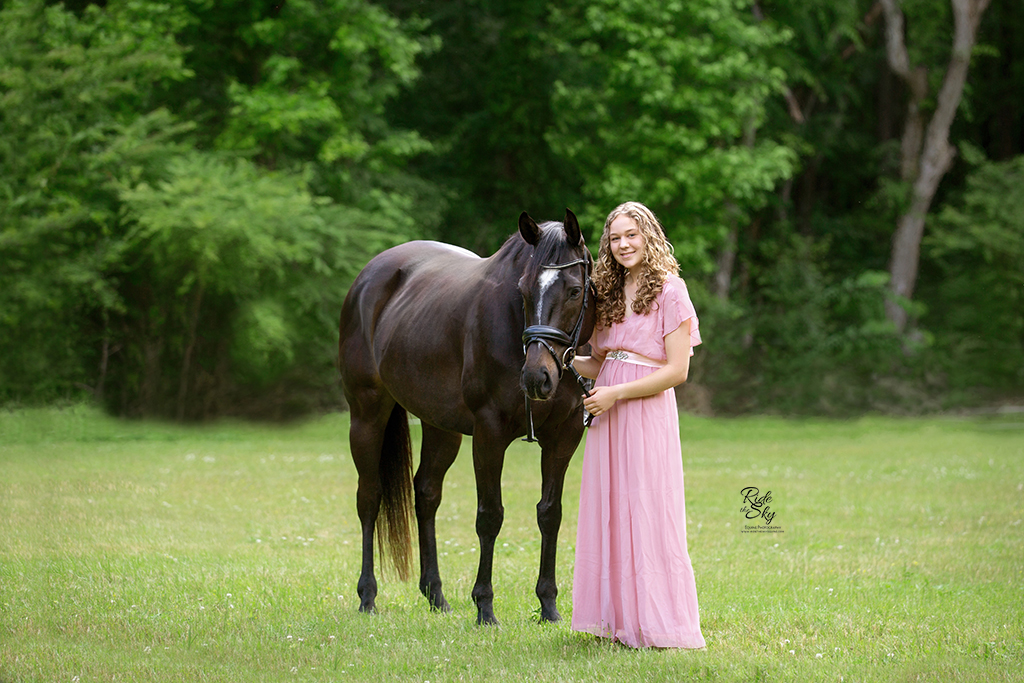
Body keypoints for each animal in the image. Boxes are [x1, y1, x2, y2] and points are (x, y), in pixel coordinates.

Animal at [337, 208, 593, 626]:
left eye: (574, 290)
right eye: (523, 290)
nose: (536, 377)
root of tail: (368, 276)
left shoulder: (563, 436)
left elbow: (549, 514)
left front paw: (549, 605)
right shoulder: (489, 434)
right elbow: (490, 516)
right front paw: (485, 606)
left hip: (441, 428)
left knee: (426, 494)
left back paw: (435, 595)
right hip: (366, 415)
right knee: (369, 497)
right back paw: (368, 596)